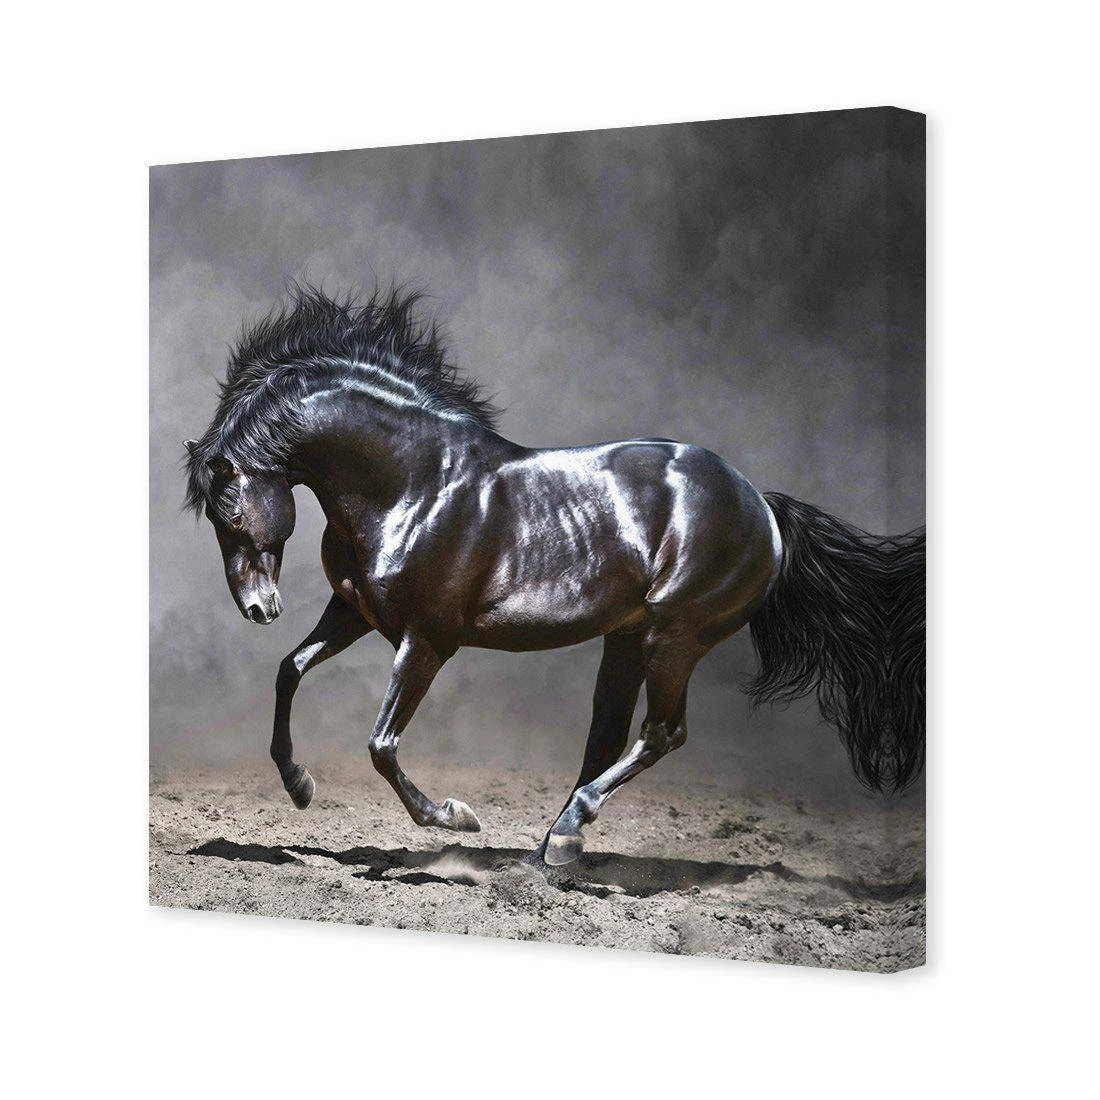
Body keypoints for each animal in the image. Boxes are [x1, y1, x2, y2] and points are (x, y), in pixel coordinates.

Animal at [184, 284, 925, 866]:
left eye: (231, 509)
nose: (258, 608)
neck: (413, 483)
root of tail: (761, 505)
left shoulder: (427, 639)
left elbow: (381, 744)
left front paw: (454, 817)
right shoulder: (357, 613)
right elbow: (289, 671)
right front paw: (298, 784)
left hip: (675, 636)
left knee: (661, 733)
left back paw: (566, 836)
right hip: (627, 639)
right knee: (609, 736)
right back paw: (552, 848)